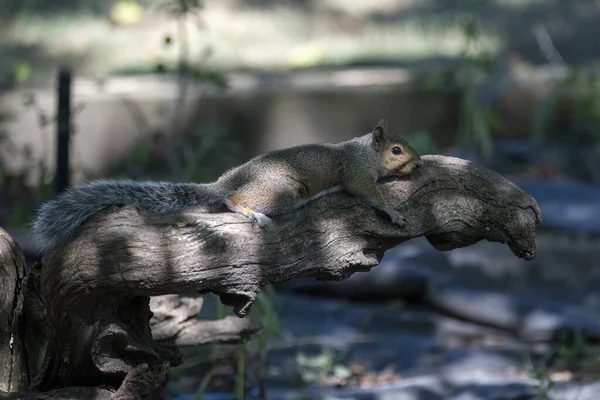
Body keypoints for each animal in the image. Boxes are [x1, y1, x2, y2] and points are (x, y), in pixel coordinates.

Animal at [31, 119, 422, 250]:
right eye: (396, 149)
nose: (418, 163)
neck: (365, 152)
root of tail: (224, 181)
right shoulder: (356, 174)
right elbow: (370, 195)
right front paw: (394, 213)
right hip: (283, 191)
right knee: (234, 199)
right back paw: (251, 213)